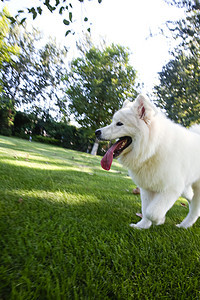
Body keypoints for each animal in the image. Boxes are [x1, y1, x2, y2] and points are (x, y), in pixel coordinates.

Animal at [95, 95, 200, 229]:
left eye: (119, 124)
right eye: (113, 122)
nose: (97, 132)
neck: (153, 149)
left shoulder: (171, 188)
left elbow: (152, 212)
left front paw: (159, 220)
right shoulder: (147, 187)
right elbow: (145, 210)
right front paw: (142, 226)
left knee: (195, 210)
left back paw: (185, 225)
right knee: (191, 199)